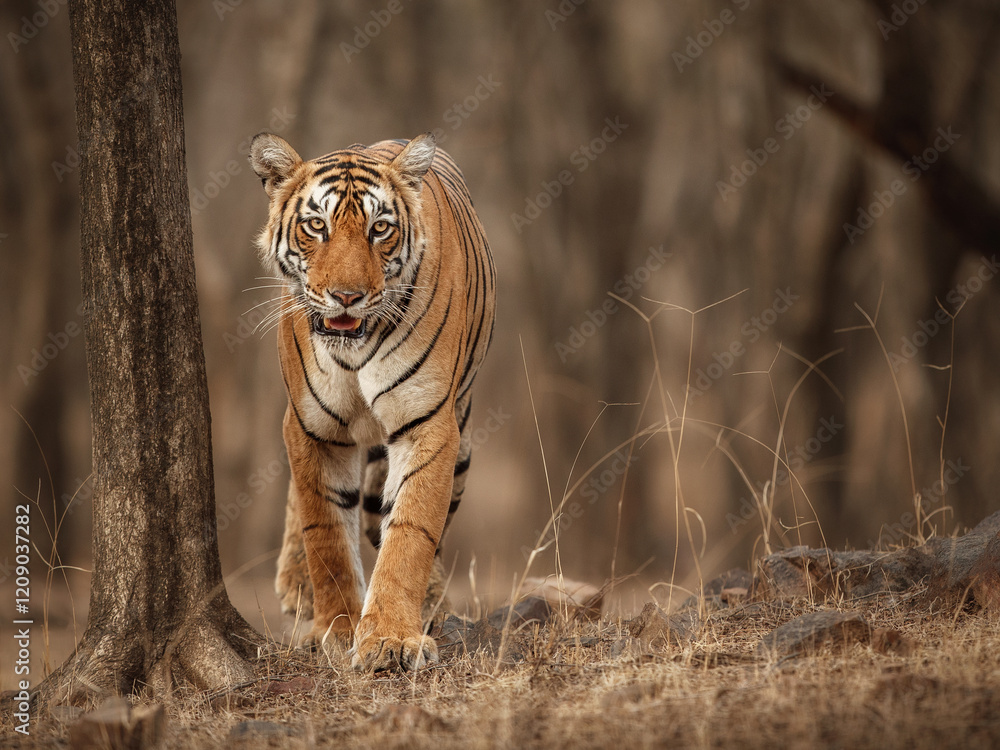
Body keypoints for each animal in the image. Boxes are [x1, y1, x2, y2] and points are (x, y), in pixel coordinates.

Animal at [248, 132, 496, 671]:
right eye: (316, 226)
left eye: (379, 229)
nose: (346, 296)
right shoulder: (310, 427)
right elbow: (325, 533)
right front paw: (338, 630)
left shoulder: (428, 423)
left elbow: (410, 532)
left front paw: (389, 639)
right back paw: (296, 585)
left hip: (463, 440)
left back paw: (432, 604)